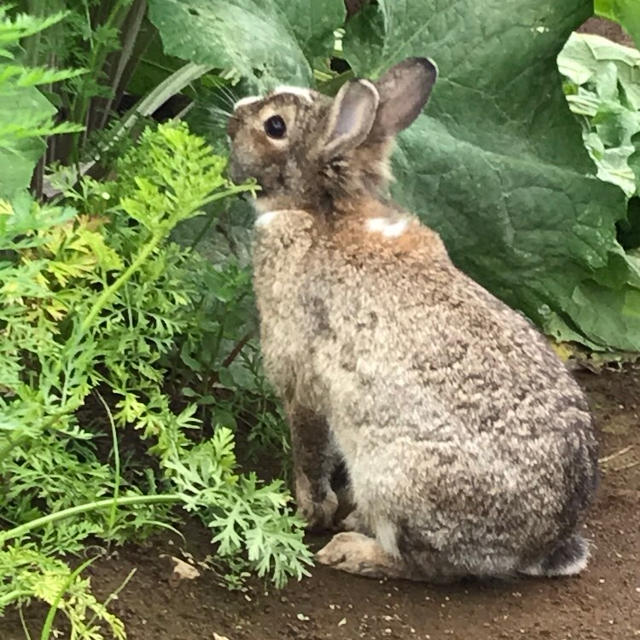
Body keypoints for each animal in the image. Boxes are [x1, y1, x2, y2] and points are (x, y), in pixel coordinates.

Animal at [228, 57, 596, 584]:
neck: (324, 210)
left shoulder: (300, 374)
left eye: (274, 126)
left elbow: (310, 450)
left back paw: (350, 549)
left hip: (394, 477)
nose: (232, 119)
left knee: (425, 565)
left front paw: (311, 512)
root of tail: (542, 544)